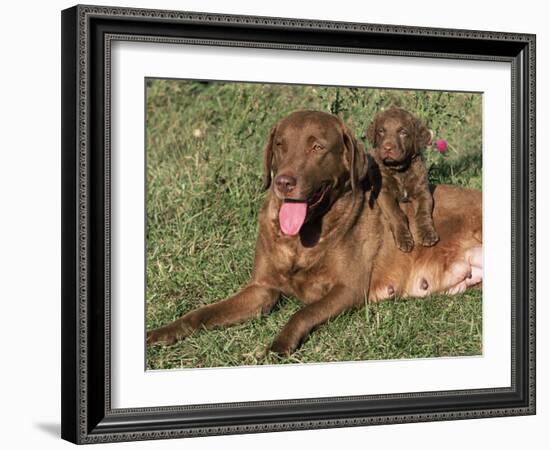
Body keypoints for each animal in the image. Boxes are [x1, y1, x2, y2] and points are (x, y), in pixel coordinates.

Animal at [368, 106, 442, 253]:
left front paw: (428, 233)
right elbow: (396, 214)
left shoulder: (423, 192)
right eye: (381, 131)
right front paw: (404, 239)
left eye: (403, 132)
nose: (387, 147)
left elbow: (423, 212)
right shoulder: (384, 192)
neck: (400, 170)